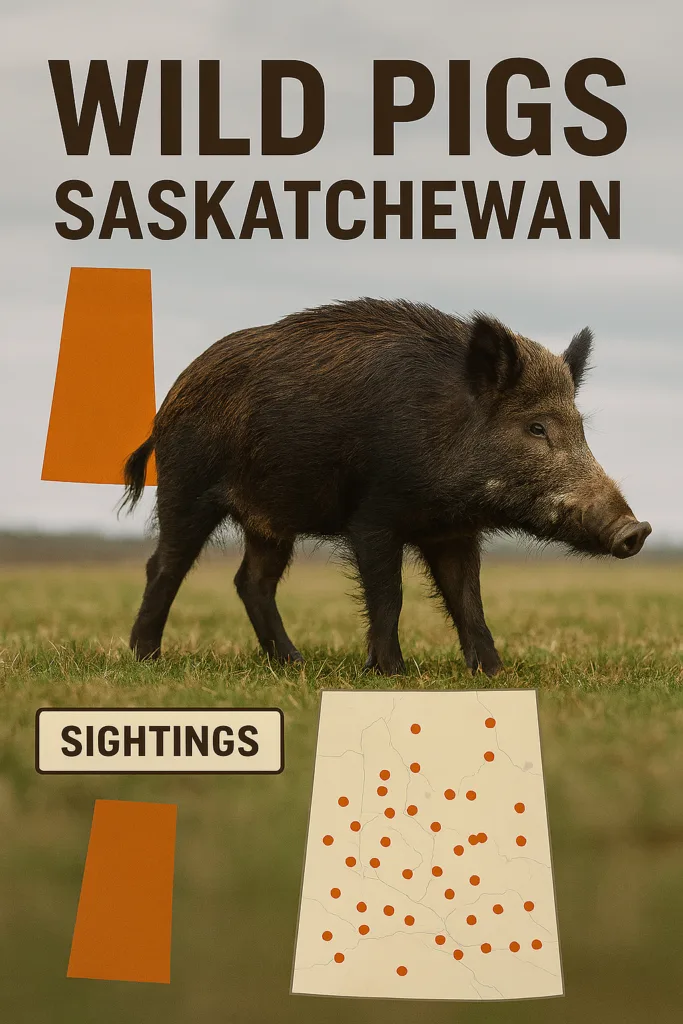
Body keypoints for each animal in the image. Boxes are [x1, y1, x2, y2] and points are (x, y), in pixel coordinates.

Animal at [122, 298, 651, 676]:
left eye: (580, 427)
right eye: (537, 427)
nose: (636, 530)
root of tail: (167, 405)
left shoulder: (453, 532)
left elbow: (468, 599)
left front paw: (494, 674)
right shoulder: (373, 517)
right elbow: (388, 593)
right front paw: (391, 672)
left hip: (270, 519)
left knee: (251, 581)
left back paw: (292, 663)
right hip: (185, 488)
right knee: (164, 565)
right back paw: (147, 657)